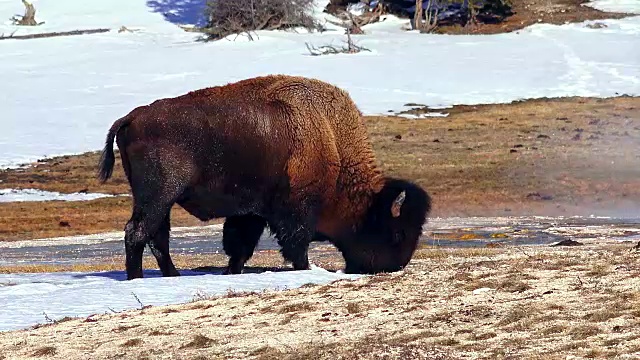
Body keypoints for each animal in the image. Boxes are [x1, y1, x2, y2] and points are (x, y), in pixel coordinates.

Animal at [97, 74, 432, 280]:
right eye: (396, 233)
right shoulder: (295, 212)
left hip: (160, 200)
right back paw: (137, 278)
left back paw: (172, 276)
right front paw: (304, 269)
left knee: (157, 237)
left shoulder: (250, 213)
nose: (394, 266)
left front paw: (232, 272)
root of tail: (131, 117)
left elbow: (240, 247)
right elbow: (296, 245)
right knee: (137, 233)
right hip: (158, 195)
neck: (331, 138)